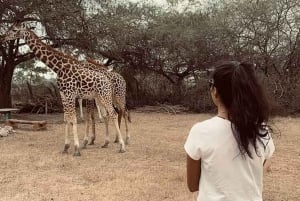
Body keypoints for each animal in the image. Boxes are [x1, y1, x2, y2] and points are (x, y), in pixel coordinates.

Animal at [2, 24, 126, 155]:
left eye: (15, 30)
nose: (3, 37)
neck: (59, 68)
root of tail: (108, 82)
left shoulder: (71, 94)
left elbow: (74, 119)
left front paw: (77, 149)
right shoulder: (63, 94)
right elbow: (66, 119)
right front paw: (66, 147)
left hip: (105, 96)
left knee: (114, 113)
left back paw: (122, 146)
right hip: (99, 97)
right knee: (109, 114)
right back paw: (109, 143)